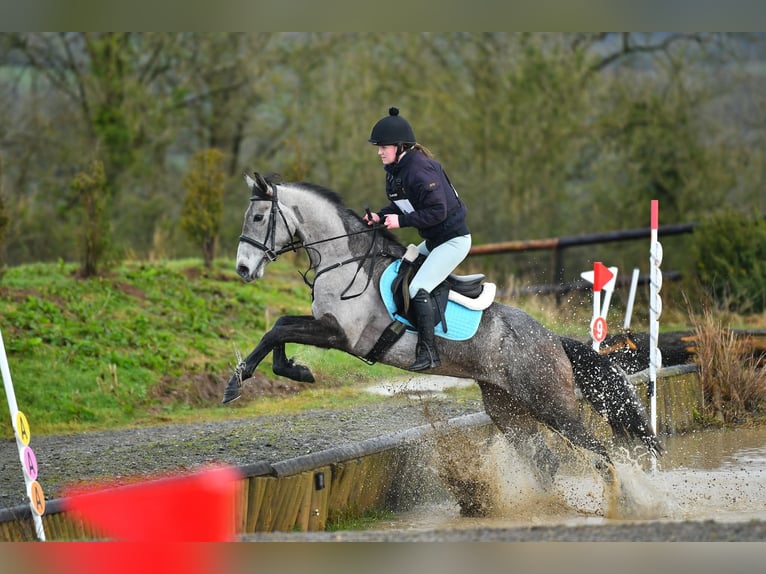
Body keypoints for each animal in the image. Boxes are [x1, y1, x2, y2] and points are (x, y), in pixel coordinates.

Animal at [225, 172, 661, 502]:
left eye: (259, 217)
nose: (243, 269)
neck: (345, 261)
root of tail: (551, 338)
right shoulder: (327, 327)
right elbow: (281, 326)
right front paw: (291, 370)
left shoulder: (340, 334)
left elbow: (277, 329)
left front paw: (238, 382)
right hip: (508, 409)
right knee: (545, 461)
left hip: (552, 406)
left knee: (602, 456)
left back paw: (618, 506)